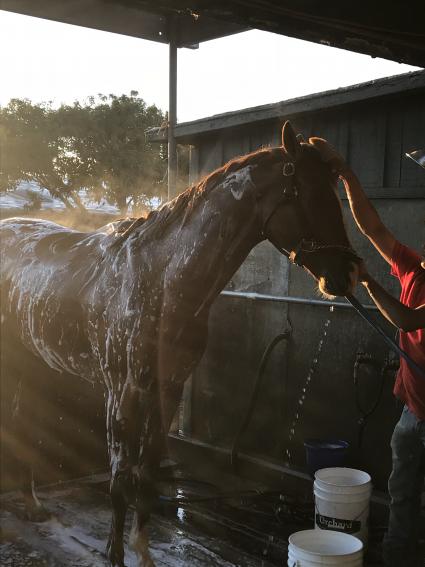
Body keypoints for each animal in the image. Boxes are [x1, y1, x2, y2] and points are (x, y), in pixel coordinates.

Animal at [0, 124, 360, 567]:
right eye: (311, 195)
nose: (346, 274)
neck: (161, 278)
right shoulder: (123, 393)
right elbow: (119, 479)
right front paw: (115, 554)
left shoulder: (168, 389)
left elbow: (148, 474)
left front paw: (143, 552)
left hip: (30, 360)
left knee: (22, 422)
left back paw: (33, 504)